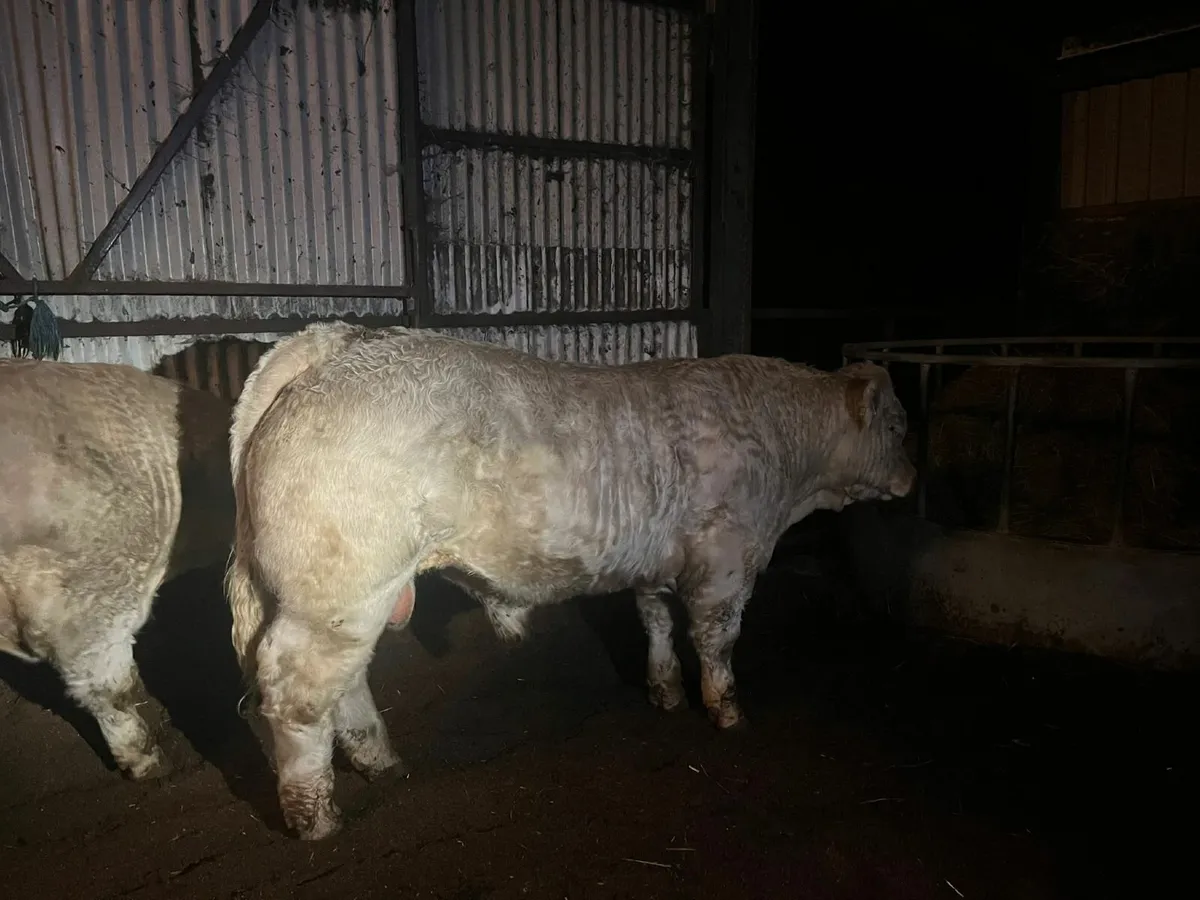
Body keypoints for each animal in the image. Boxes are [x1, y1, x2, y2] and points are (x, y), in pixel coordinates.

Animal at [226, 322, 916, 840]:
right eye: (898, 426)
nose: (914, 476)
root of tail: (343, 340)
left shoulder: (658, 564)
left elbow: (656, 623)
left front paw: (665, 693)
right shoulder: (725, 560)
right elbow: (717, 641)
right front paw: (728, 712)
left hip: (338, 598)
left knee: (343, 682)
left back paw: (380, 761)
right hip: (338, 590)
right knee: (297, 690)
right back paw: (315, 814)